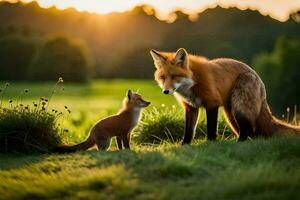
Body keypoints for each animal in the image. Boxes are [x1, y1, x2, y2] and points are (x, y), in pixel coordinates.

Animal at [150, 47, 300, 143]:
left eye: (174, 76)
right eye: (163, 77)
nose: (165, 91)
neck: (193, 82)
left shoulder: (212, 103)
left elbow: (211, 128)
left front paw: (211, 143)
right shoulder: (191, 107)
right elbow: (188, 130)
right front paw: (185, 145)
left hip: (239, 107)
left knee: (249, 129)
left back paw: (239, 142)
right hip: (231, 115)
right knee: (251, 131)